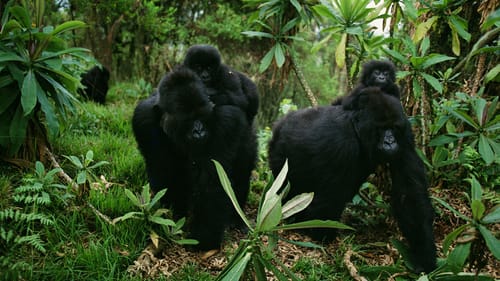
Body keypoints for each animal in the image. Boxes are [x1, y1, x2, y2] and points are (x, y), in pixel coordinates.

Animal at [132, 66, 258, 249]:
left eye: (202, 115)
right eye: (187, 120)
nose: (199, 131)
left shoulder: (227, 120)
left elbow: (213, 181)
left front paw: (203, 239)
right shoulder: (143, 118)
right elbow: (161, 171)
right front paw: (174, 215)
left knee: (242, 170)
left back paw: (237, 219)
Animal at [268, 86, 436, 272]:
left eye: (394, 128)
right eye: (381, 128)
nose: (390, 142)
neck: (357, 127)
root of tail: (282, 122)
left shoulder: (405, 133)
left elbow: (410, 195)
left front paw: (424, 255)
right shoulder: (343, 144)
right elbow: (328, 200)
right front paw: (321, 233)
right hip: (280, 153)